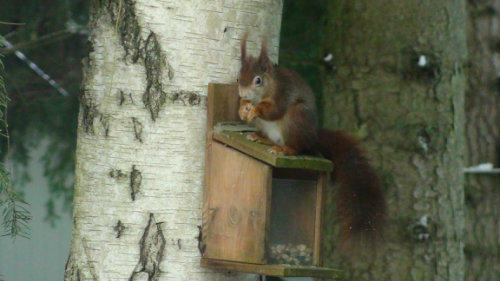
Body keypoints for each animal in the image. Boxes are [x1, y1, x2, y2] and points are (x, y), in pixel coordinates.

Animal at [238, 34, 386, 245]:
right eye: (238, 78)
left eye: (258, 80)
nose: (242, 93)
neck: (268, 88)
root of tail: (313, 137)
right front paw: (243, 109)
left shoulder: (283, 94)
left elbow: (274, 111)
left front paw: (255, 110)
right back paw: (261, 138)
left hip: (296, 118)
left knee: (297, 146)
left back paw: (285, 150)